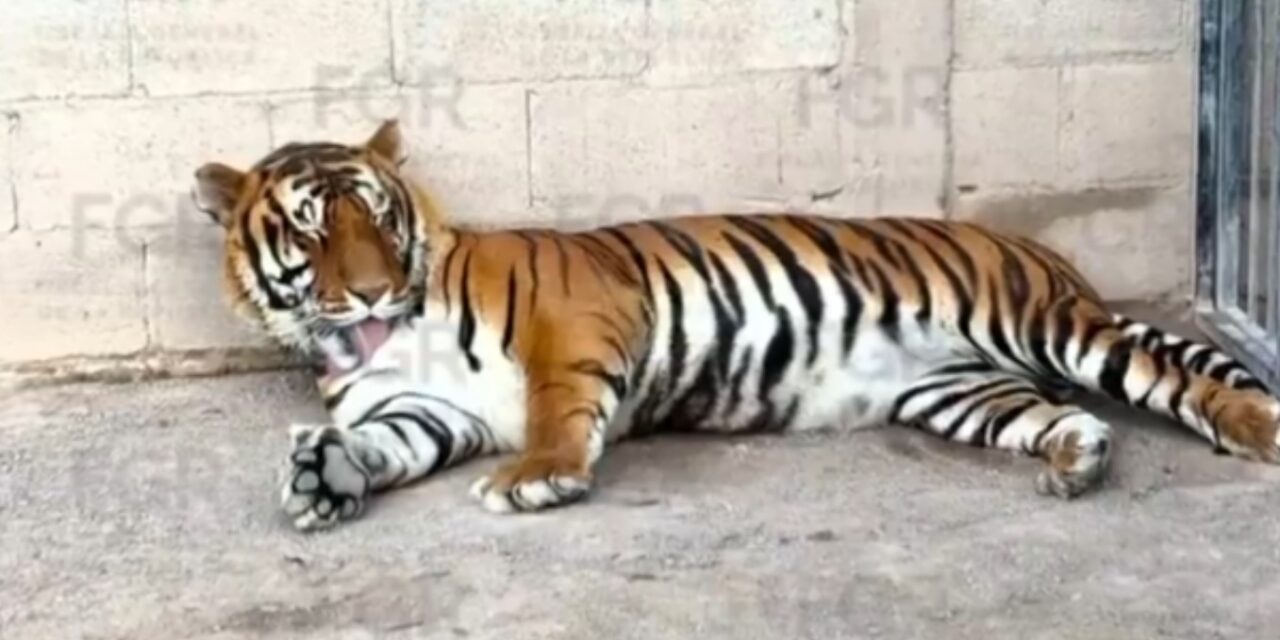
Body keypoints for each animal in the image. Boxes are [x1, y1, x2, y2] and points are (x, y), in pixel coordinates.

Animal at [193, 120, 1280, 531]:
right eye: (310, 227)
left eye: (378, 216)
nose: (374, 292)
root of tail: (1038, 251)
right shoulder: (427, 410)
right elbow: (382, 443)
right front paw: (325, 475)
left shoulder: (574, 318)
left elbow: (556, 405)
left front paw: (540, 476)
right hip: (959, 390)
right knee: (1067, 416)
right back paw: (1076, 459)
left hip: (1048, 327)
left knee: (1171, 375)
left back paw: (1257, 429)